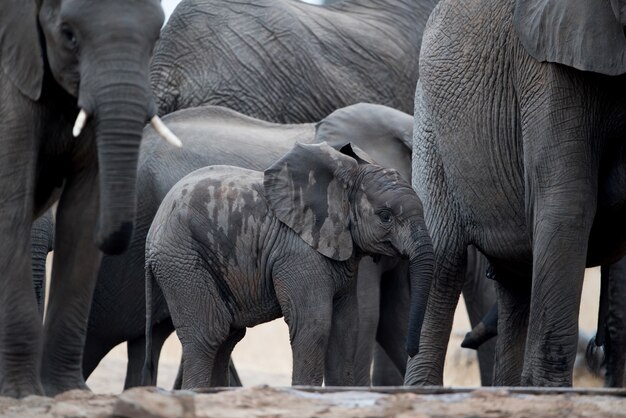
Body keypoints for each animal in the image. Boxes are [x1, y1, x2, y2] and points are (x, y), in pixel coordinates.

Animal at [0, 0, 177, 398]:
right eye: (69, 34)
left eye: (156, 37)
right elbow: (10, 204)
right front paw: (22, 394)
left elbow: (82, 213)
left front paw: (66, 392)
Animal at [144, 143, 432, 388]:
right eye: (385, 216)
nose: (412, 349)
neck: (342, 181)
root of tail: (152, 230)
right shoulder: (298, 252)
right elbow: (314, 323)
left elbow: (347, 325)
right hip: (182, 260)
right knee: (208, 334)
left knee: (228, 336)